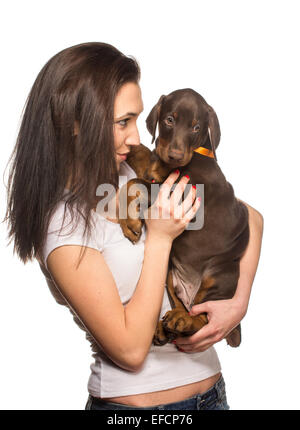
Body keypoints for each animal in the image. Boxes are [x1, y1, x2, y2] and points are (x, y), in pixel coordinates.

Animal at [118, 89, 250, 348]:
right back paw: (166, 325)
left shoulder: (174, 194)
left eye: (196, 127)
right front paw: (129, 147)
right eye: (169, 120)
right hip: (170, 275)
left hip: (221, 275)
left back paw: (183, 321)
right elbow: (143, 155)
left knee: (204, 318)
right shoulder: (156, 165)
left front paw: (130, 223)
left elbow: (134, 183)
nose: (176, 156)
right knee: (184, 307)